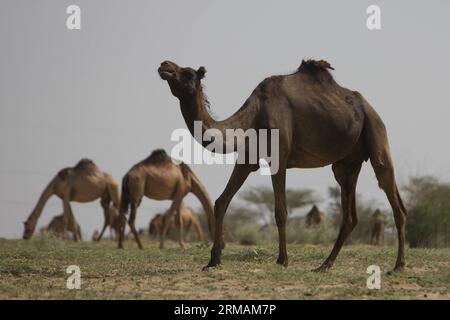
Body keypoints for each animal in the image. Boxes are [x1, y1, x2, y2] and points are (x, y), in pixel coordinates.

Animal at [158, 58, 408, 272]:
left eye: (188, 73)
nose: (164, 65)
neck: (253, 116)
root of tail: (368, 106)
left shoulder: (279, 156)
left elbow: (280, 211)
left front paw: (282, 259)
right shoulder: (247, 159)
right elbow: (221, 202)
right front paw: (213, 260)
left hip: (376, 131)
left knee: (394, 199)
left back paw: (399, 265)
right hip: (347, 163)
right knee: (350, 215)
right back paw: (324, 265)